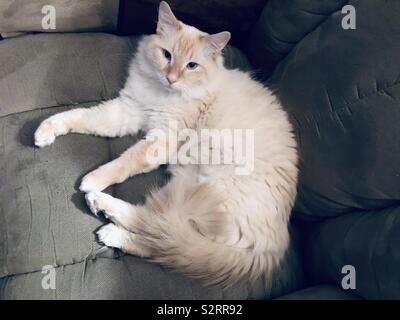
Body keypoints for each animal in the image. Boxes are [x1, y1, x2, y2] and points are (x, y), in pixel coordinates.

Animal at [33, 1, 296, 288]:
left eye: (191, 65)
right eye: (167, 55)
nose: (171, 78)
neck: (164, 94)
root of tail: (270, 251)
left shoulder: (162, 138)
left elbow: (123, 162)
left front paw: (91, 180)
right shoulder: (127, 110)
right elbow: (80, 117)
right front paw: (45, 131)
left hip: (198, 192)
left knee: (157, 229)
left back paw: (100, 205)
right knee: (159, 241)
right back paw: (108, 226)